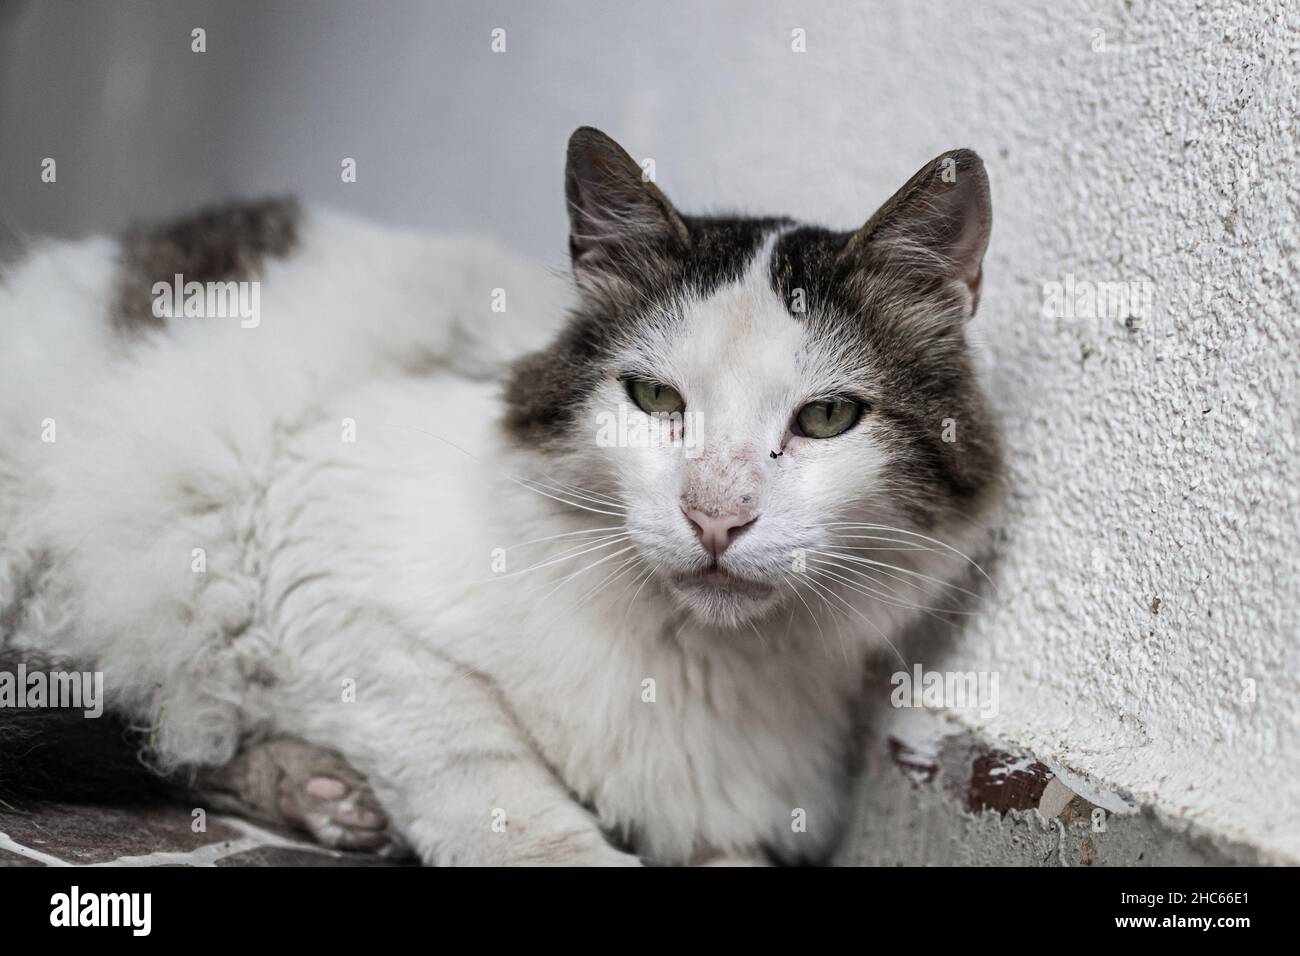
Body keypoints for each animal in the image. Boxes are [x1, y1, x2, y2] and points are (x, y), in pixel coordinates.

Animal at [0, 127, 1003, 868]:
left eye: (828, 416)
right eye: (654, 400)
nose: (716, 517)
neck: (700, 661)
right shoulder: (316, 559)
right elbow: (487, 773)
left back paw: (325, 796)